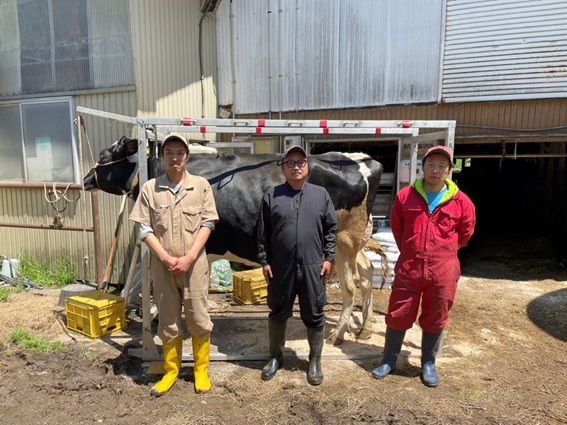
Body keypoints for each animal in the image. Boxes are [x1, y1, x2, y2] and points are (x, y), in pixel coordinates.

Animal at [84, 136, 384, 344]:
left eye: (102, 155)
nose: (86, 179)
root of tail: (363, 159)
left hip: (344, 242)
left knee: (351, 286)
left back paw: (338, 335)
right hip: (356, 243)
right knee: (368, 273)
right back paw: (365, 329)